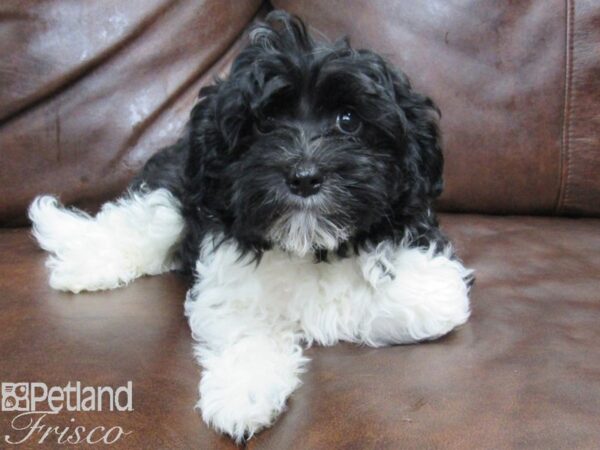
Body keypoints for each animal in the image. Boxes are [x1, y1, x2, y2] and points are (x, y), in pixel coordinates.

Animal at [29, 10, 474, 442]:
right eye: (263, 123)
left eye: (348, 120)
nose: (304, 177)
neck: (310, 246)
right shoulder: (225, 281)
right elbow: (248, 329)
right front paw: (243, 395)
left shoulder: (434, 280)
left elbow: (411, 304)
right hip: (176, 193)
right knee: (136, 224)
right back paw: (78, 262)